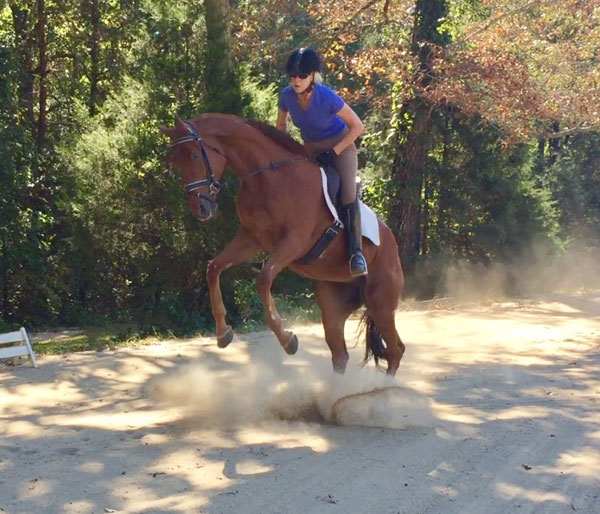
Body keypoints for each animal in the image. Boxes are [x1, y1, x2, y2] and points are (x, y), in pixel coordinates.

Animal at [160, 114, 406, 375]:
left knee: (395, 350)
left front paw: (287, 340)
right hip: (333, 302)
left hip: (380, 302)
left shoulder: (294, 242)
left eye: (195, 155)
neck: (268, 178)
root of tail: (392, 243)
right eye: (175, 160)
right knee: (340, 353)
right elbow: (214, 268)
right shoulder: (252, 238)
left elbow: (264, 279)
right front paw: (223, 333)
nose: (200, 209)